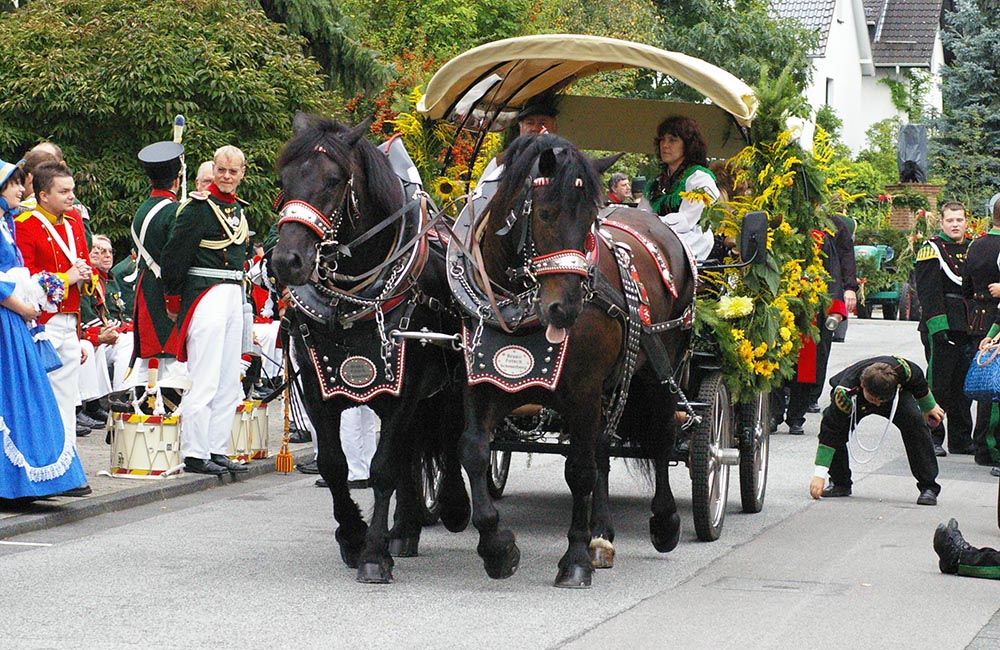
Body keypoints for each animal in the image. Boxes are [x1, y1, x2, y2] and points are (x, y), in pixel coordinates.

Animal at [271, 113, 469, 584]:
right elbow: (334, 465)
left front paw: (374, 554)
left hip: (450, 383)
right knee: (413, 451)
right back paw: (407, 528)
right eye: (285, 179)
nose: (287, 261)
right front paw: (353, 536)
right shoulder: (318, 387)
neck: (354, 302)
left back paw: (452, 507)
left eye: (332, 181)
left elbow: (382, 469)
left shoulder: (403, 389)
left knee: (451, 436)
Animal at [454, 133, 696, 587]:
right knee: (602, 445)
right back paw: (603, 533)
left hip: (658, 370)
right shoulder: (482, 378)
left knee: (660, 437)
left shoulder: (581, 389)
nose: (564, 309)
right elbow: (474, 452)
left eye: (590, 223)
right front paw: (498, 548)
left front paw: (576, 557)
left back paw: (664, 522)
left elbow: (579, 471)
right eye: (545, 213)